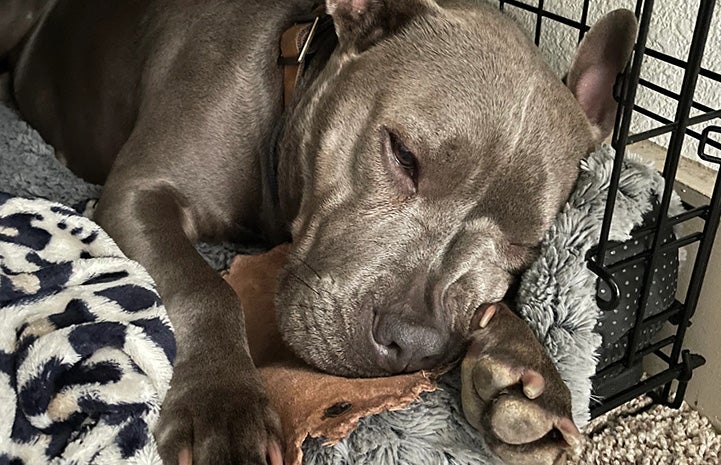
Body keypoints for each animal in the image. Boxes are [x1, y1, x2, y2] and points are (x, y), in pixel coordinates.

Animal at [2, 0, 636, 462]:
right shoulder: (138, 193)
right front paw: (222, 405)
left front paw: (526, 367)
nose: (417, 345)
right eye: (403, 155)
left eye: (527, 244)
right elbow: (205, 287)